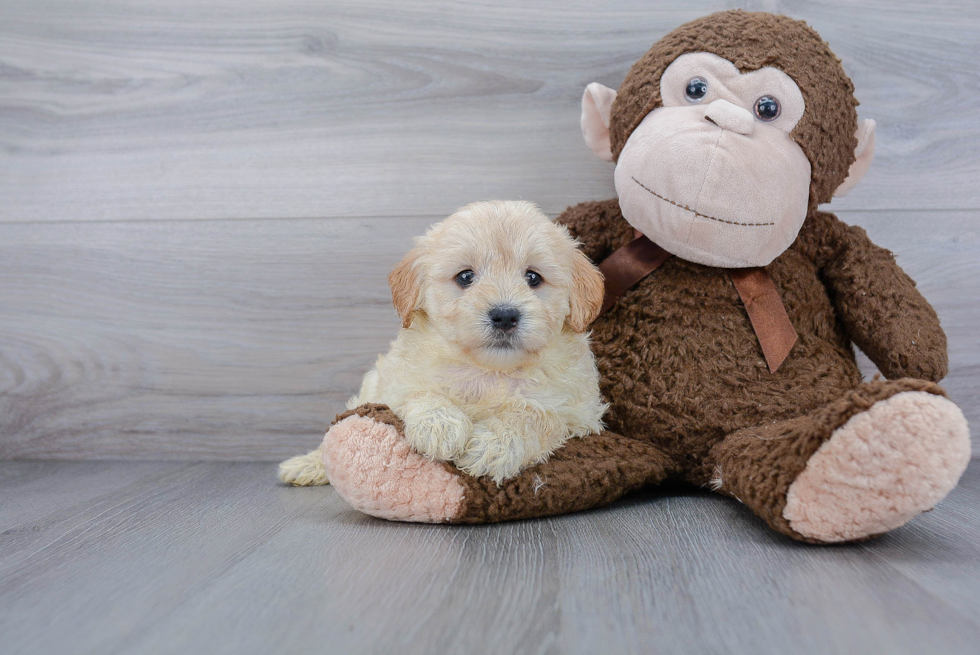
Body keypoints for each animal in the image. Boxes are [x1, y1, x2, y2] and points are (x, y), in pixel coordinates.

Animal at [276, 200, 608, 486]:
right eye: (465, 277)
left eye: (533, 278)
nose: (504, 315)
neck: (487, 370)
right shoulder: (395, 386)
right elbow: (420, 393)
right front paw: (440, 427)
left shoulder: (578, 414)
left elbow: (536, 415)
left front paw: (492, 446)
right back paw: (306, 465)